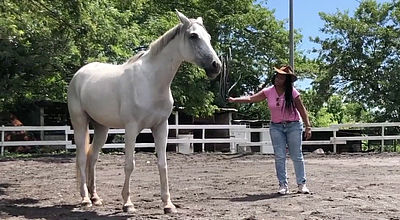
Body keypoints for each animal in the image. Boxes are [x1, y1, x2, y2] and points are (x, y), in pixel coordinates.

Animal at [66, 10, 222, 213]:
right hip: (80, 123)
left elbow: (162, 164)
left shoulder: (161, 127)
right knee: (81, 158)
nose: (216, 66)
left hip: (102, 127)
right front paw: (127, 203)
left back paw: (95, 198)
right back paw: (85, 199)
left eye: (209, 37)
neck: (151, 81)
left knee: (92, 157)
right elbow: (129, 164)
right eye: (193, 36)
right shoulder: (131, 128)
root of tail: (79, 75)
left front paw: (168, 205)